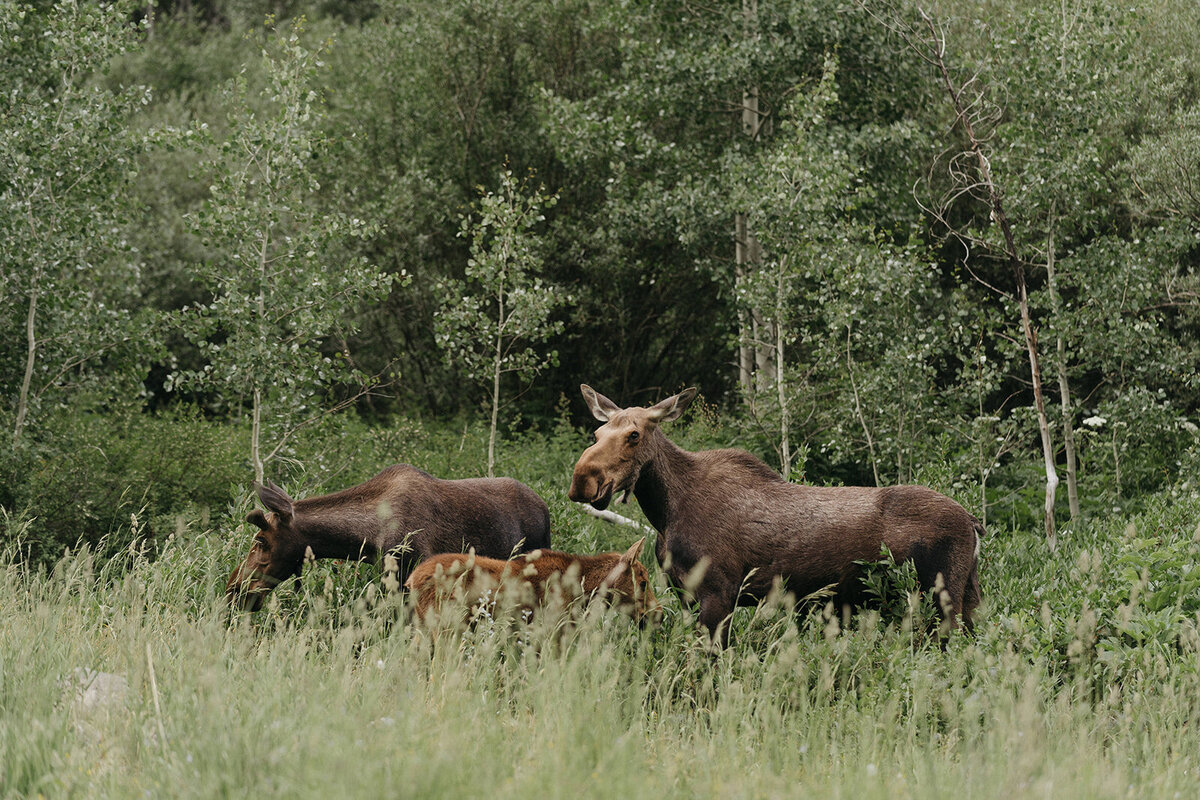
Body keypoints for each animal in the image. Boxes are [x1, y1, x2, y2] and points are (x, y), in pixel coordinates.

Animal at [568, 383, 984, 647]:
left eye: (634, 435)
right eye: (597, 433)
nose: (583, 481)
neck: (664, 512)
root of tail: (973, 523)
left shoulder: (718, 594)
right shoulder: (685, 595)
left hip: (941, 597)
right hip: (967, 597)